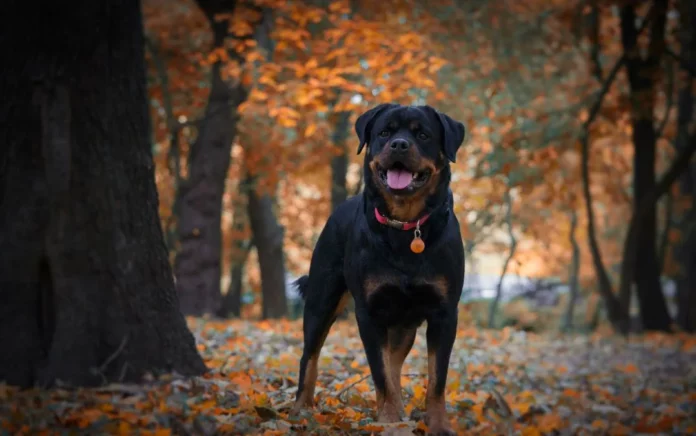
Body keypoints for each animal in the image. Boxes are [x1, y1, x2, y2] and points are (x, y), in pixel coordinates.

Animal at [290, 104, 464, 434]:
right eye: (384, 132)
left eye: (423, 134)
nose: (399, 144)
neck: (406, 228)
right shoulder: (368, 313)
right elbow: (379, 372)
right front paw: (389, 422)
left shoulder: (444, 312)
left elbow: (436, 378)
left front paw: (437, 425)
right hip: (322, 299)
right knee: (310, 355)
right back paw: (301, 410)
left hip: (404, 323)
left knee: (395, 362)